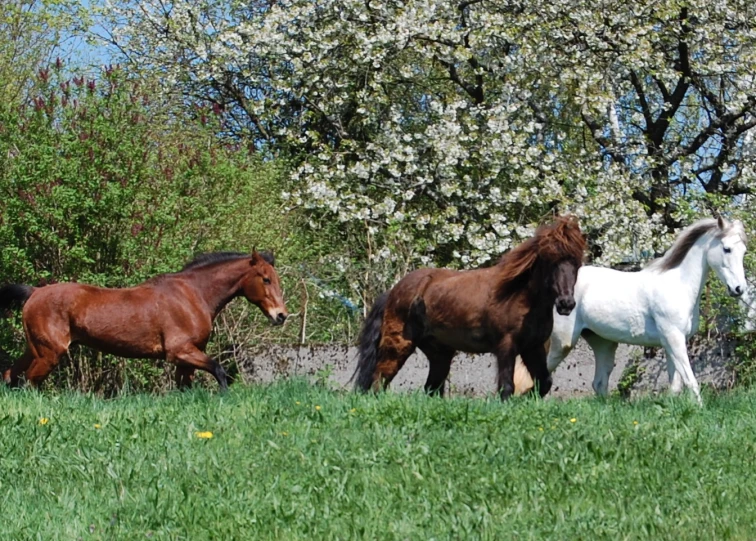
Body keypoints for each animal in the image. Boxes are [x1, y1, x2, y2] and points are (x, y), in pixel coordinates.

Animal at [0, 251, 288, 390]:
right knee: (29, 381)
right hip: (50, 353)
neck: (192, 294)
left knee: (10, 375)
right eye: (265, 279)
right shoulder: (180, 351)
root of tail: (35, 293)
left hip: (35, 349)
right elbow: (219, 371)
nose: (281, 315)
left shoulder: (186, 359)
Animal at [352, 214, 584, 396]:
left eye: (576, 262)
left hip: (440, 353)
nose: (566, 303)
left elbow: (544, 383)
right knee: (379, 382)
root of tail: (393, 291)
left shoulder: (532, 348)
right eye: (550, 261)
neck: (518, 296)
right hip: (398, 345)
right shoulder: (506, 346)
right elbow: (506, 387)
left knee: (430, 388)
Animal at [536, 217, 748, 402]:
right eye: (727, 249)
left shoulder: (672, 342)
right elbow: (690, 380)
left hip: (603, 343)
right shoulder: (674, 339)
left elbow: (675, 385)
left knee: (599, 383)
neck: (678, 285)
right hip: (562, 342)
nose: (739, 289)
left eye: (744, 251)